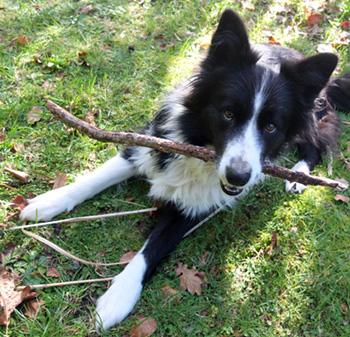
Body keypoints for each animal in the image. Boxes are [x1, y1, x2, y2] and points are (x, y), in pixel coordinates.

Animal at [21, 9, 350, 330]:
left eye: (271, 127)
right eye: (227, 113)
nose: (238, 177)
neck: (199, 147)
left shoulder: (194, 206)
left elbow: (153, 247)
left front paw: (119, 296)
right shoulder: (150, 144)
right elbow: (95, 177)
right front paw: (48, 203)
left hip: (310, 122)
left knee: (315, 146)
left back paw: (299, 176)